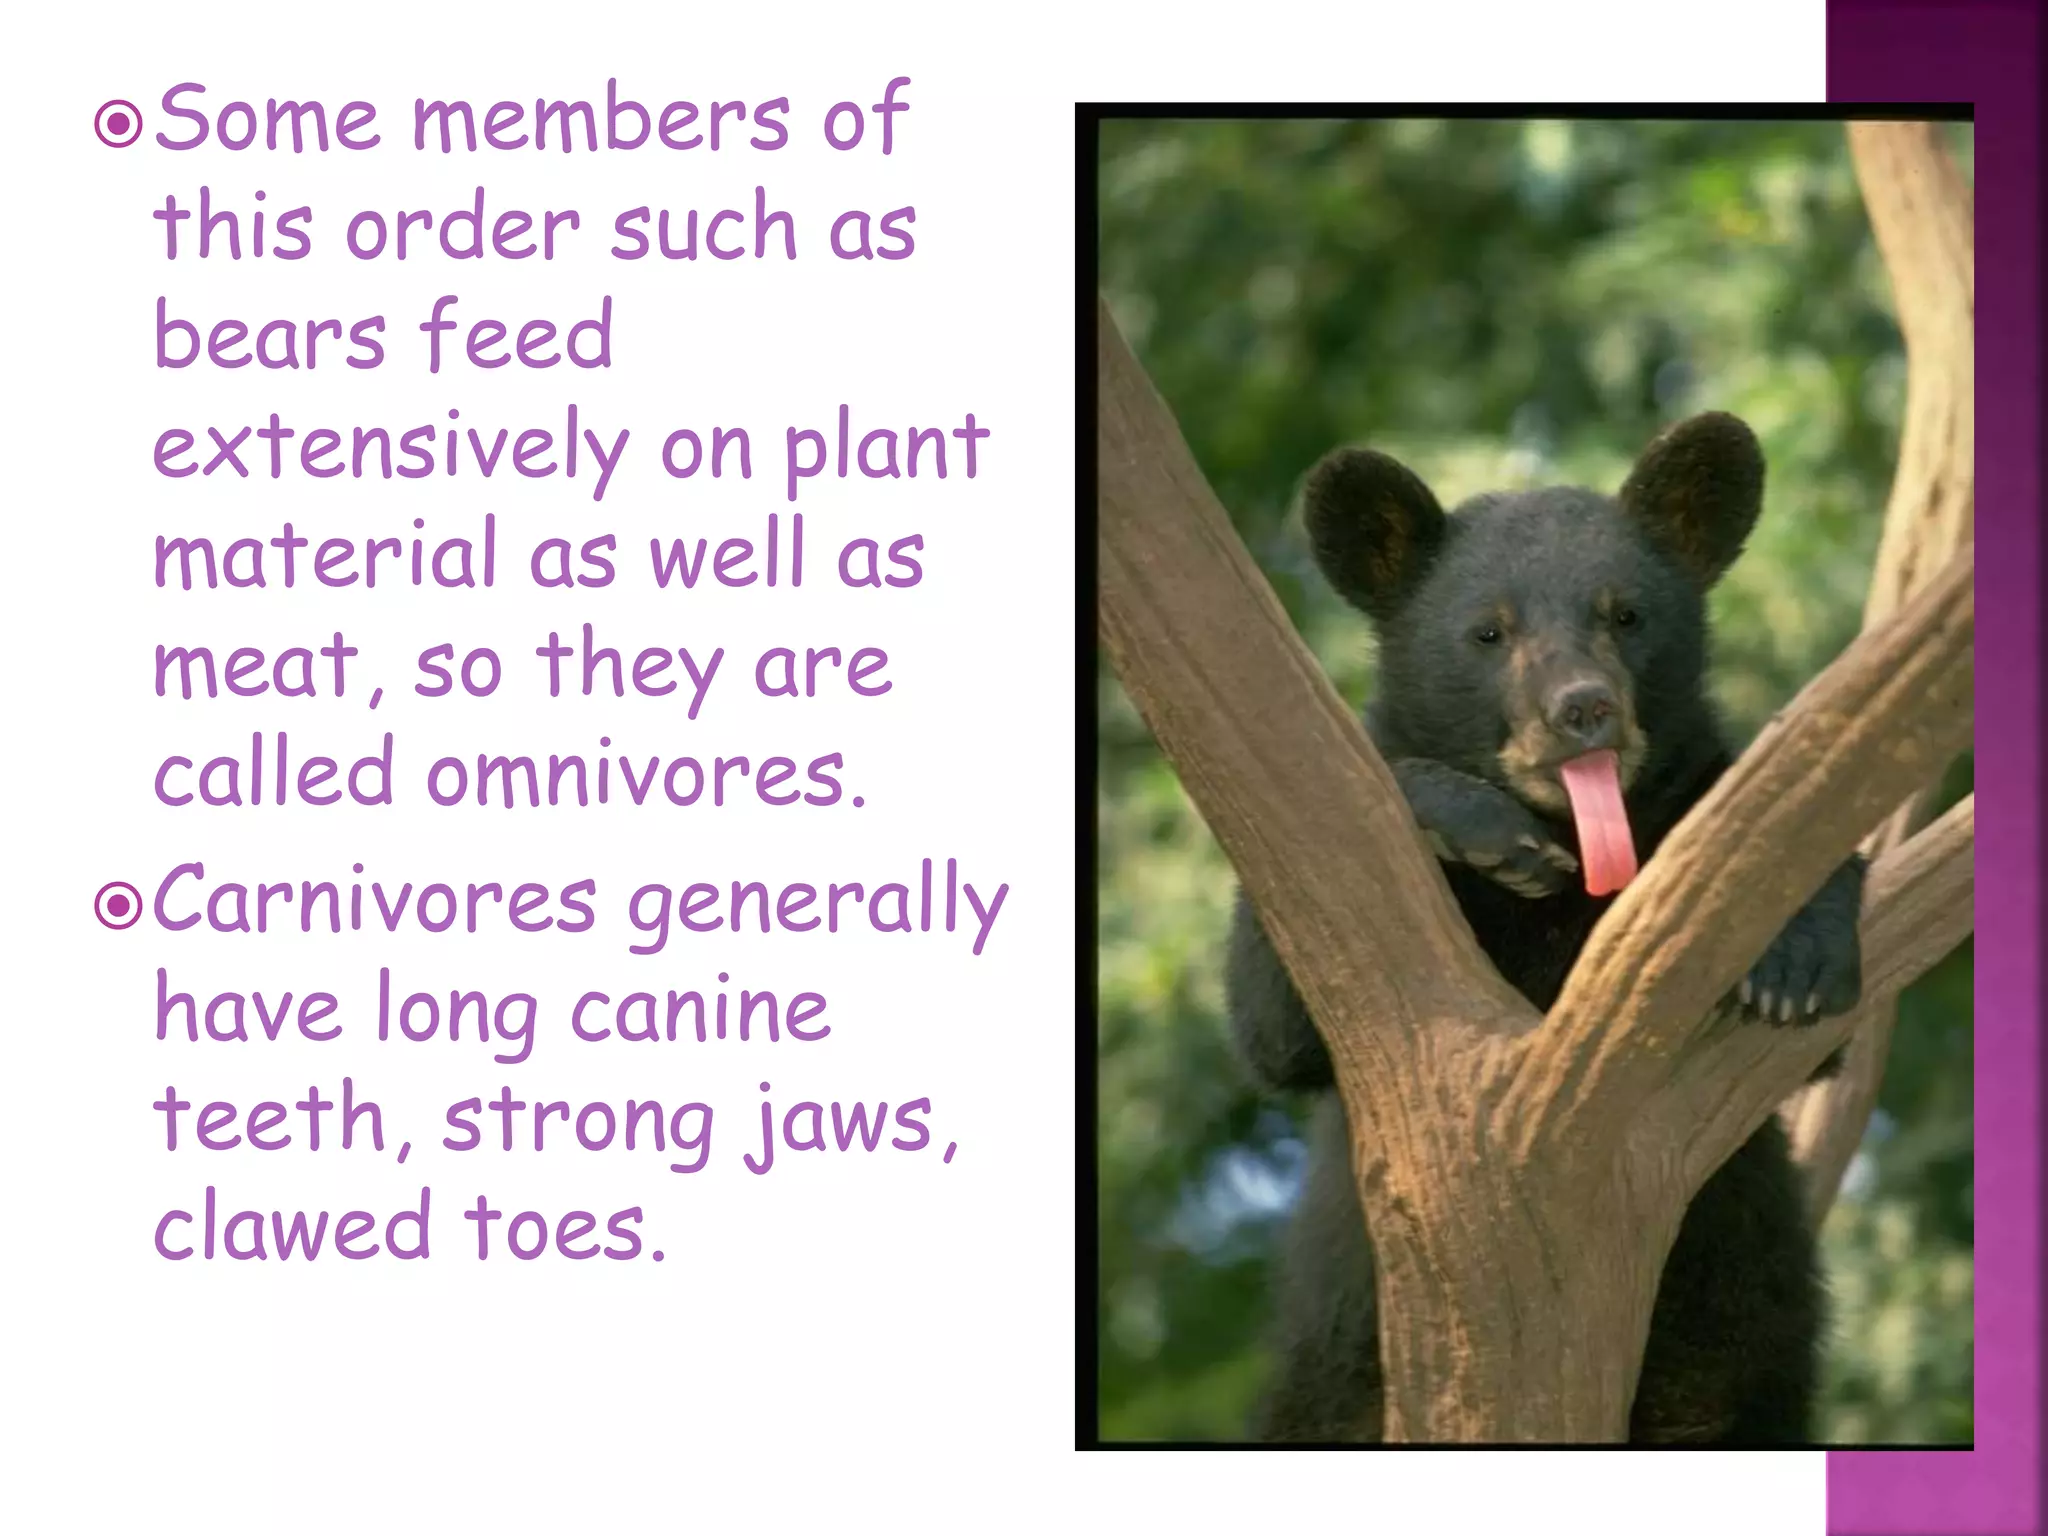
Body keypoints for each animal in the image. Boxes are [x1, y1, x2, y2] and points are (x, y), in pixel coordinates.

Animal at [1226, 411, 1866, 1445]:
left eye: (1626, 614)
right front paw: (1482, 828)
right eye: (1490, 630)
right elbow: (1274, 1025)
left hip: (1735, 1334)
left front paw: (1797, 957)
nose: (1583, 709)